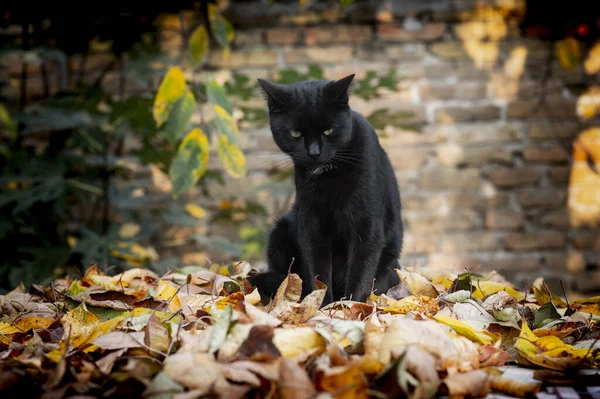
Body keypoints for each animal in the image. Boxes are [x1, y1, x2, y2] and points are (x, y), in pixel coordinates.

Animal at [248, 74, 404, 306]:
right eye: (295, 133)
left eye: (328, 130)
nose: (314, 152)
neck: (328, 175)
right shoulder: (311, 221)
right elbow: (317, 268)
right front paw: (321, 304)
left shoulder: (367, 223)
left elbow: (362, 265)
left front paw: (350, 304)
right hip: (280, 232)